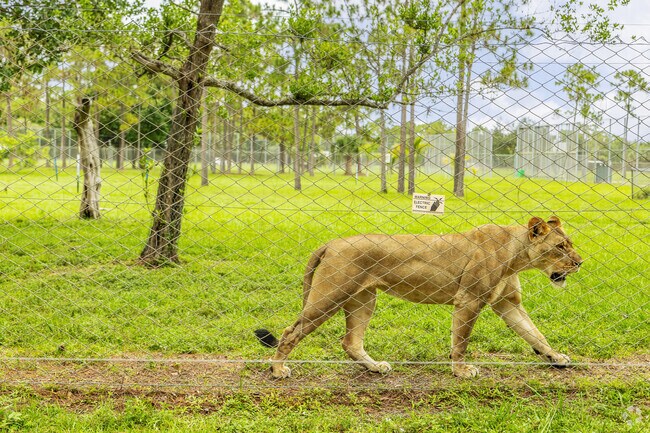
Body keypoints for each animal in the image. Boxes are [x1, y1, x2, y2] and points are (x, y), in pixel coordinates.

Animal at [255, 216, 583, 379]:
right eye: (560, 247)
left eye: (569, 244)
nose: (580, 262)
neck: (516, 256)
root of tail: (332, 242)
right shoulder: (469, 300)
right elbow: (461, 342)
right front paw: (462, 371)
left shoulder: (508, 304)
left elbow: (535, 335)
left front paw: (556, 358)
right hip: (330, 296)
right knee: (291, 331)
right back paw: (277, 370)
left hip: (363, 300)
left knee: (350, 342)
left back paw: (375, 367)